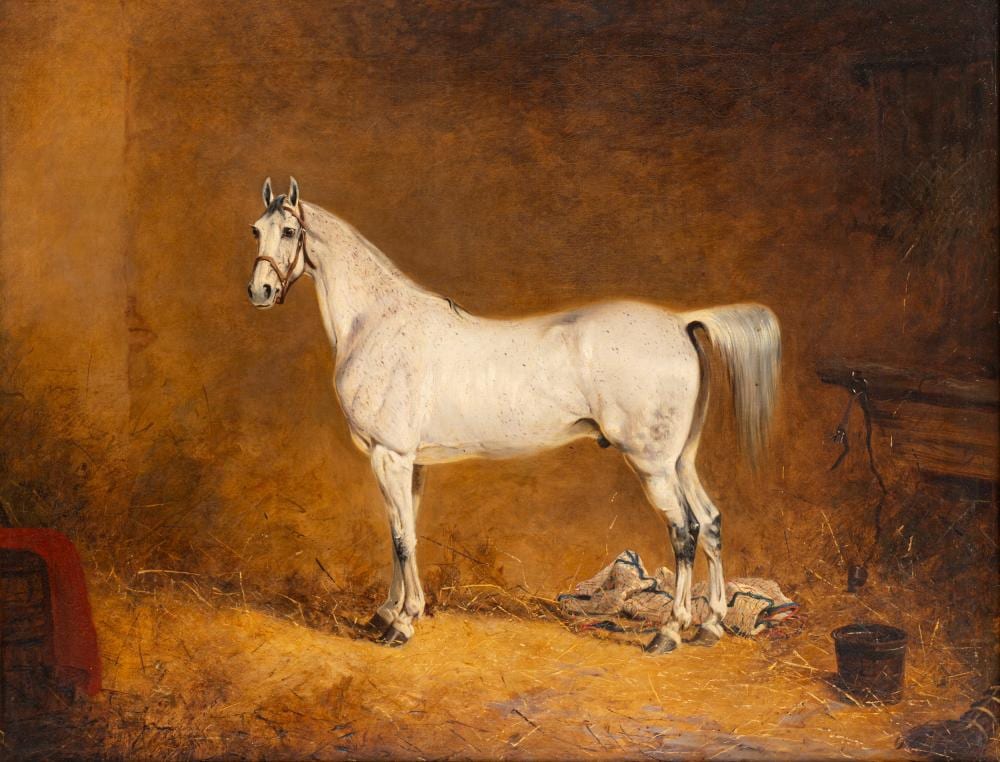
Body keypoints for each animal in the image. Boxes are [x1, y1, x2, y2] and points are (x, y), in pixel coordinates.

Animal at [246, 177, 781, 653]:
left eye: (289, 231)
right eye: (255, 230)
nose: (260, 292)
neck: (378, 323)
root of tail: (679, 322)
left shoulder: (389, 456)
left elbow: (401, 539)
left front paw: (401, 624)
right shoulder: (410, 463)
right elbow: (404, 533)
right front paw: (390, 611)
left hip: (652, 465)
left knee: (684, 531)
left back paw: (669, 632)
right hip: (680, 460)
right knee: (710, 522)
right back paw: (710, 627)